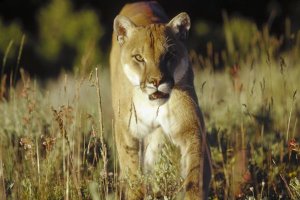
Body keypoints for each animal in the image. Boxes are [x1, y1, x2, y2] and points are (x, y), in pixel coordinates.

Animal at [109, 0, 211, 199]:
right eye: (139, 58)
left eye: (169, 55)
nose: (156, 82)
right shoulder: (126, 130)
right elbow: (132, 172)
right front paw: (136, 192)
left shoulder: (191, 127)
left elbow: (195, 172)